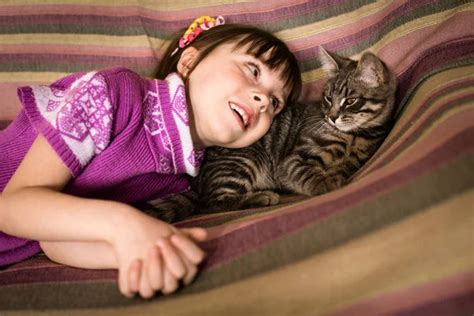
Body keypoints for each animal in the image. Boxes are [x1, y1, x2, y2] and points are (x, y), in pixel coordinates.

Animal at [143, 48, 398, 222]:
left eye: (350, 100)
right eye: (328, 98)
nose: (332, 117)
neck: (354, 137)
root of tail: (196, 184)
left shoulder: (355, 159)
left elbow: (343, 168)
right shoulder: (292, 160)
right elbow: (306, 173)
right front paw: (325, 183)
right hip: (242, 161)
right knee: (212, 204)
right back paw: (261, 197)